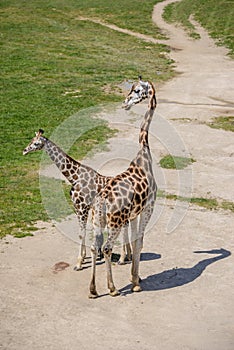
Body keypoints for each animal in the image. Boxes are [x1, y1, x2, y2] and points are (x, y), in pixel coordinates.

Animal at [89, 76, 157, 298]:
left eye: (136, 90)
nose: (125, 103)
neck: (144, 153)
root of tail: (102, 200)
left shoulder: (134, 213)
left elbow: (136, 242)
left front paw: (135, 277)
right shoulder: (148, 207)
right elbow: (140, 242)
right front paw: (135, 282)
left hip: (98, 220)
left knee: (94, 246)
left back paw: (93, 290)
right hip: (115, 222)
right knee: (106, 248)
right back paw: (112, 288)